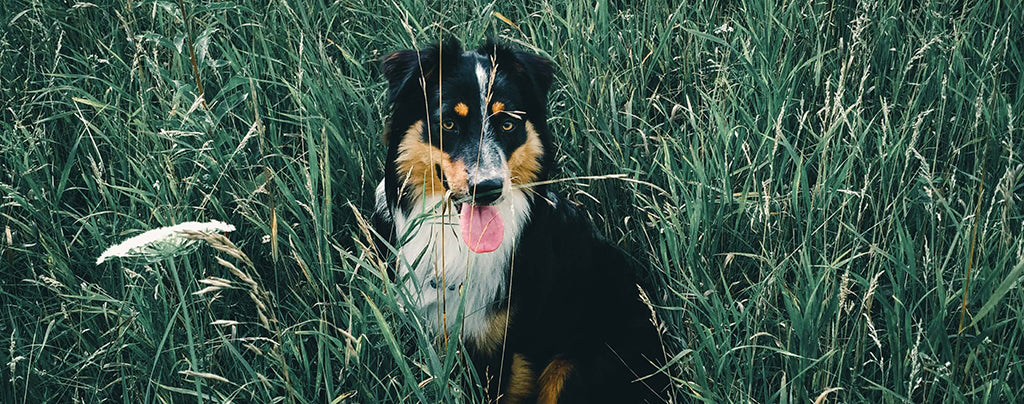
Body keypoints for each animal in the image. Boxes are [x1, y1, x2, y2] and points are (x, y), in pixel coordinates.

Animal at [372, 38, 667, 404]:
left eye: (508, 124)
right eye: (449, 124)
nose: (487, 188)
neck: (456, 241)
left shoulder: (501, 348)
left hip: (573, 365)